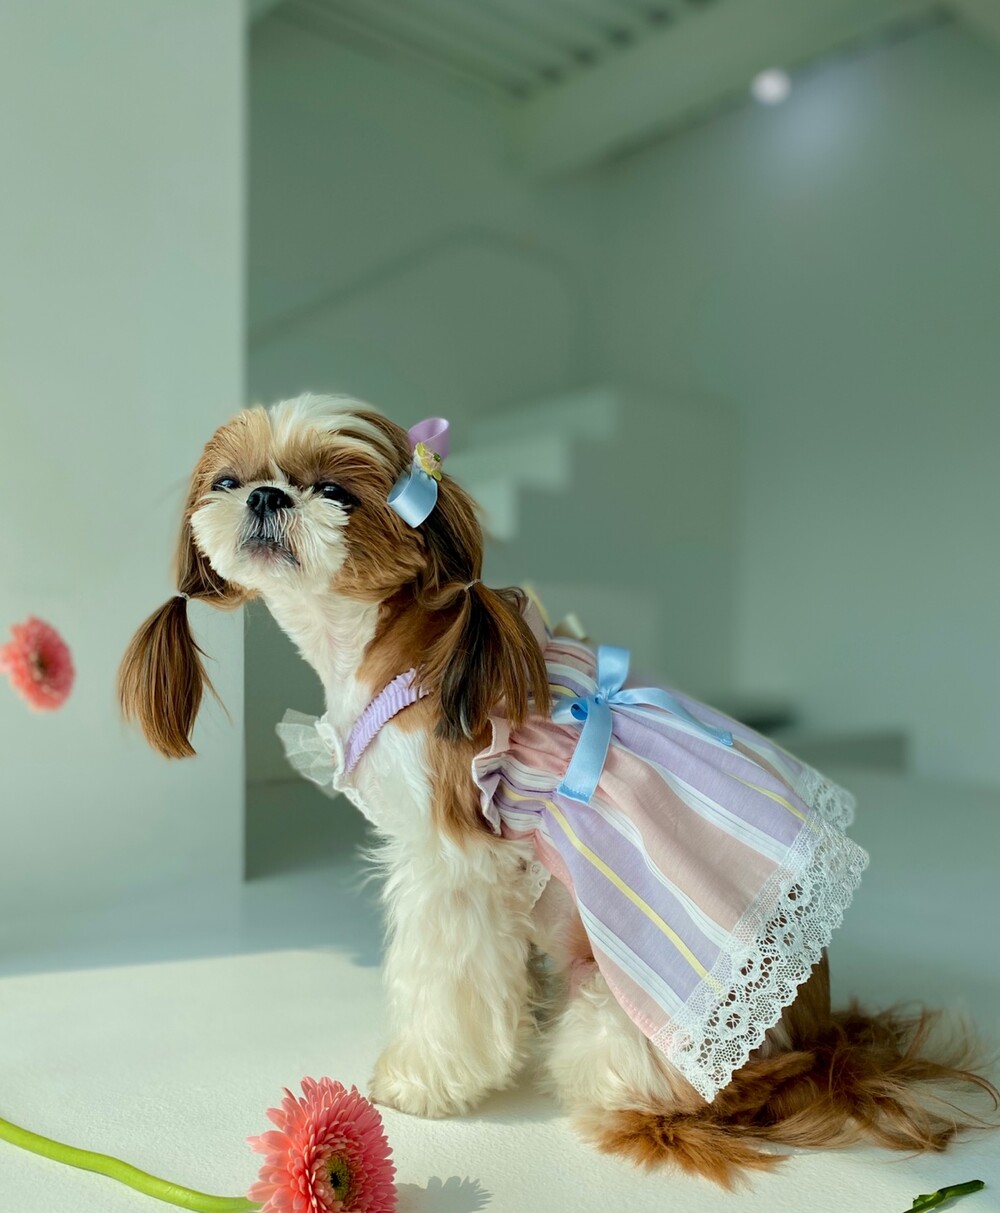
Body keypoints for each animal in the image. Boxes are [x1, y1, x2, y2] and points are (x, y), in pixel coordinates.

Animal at [119, 393, 995, 1187]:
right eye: (228, 479)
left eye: (335, 490)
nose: (267, 495)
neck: (384, 641)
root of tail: (820, 1046)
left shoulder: (451, 862)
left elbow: (442, 975)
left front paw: (422, 1078)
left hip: (617, 1026)